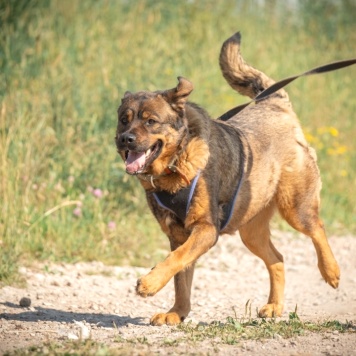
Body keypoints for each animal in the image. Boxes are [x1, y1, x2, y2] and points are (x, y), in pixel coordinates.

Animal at [115, 32, 340, 326]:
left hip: (295, 207)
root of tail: (275, 106)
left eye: (151, 121)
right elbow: (181, 276)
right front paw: (177, 312)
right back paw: (274, 306)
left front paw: (150, 283)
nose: (125, 139)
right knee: (277, 258)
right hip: (251, 231)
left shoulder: (205, 229)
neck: (177, 164)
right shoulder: (179, 234)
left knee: (317, 228)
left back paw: (330, 270)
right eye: (123, 120)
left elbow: (176, 259)